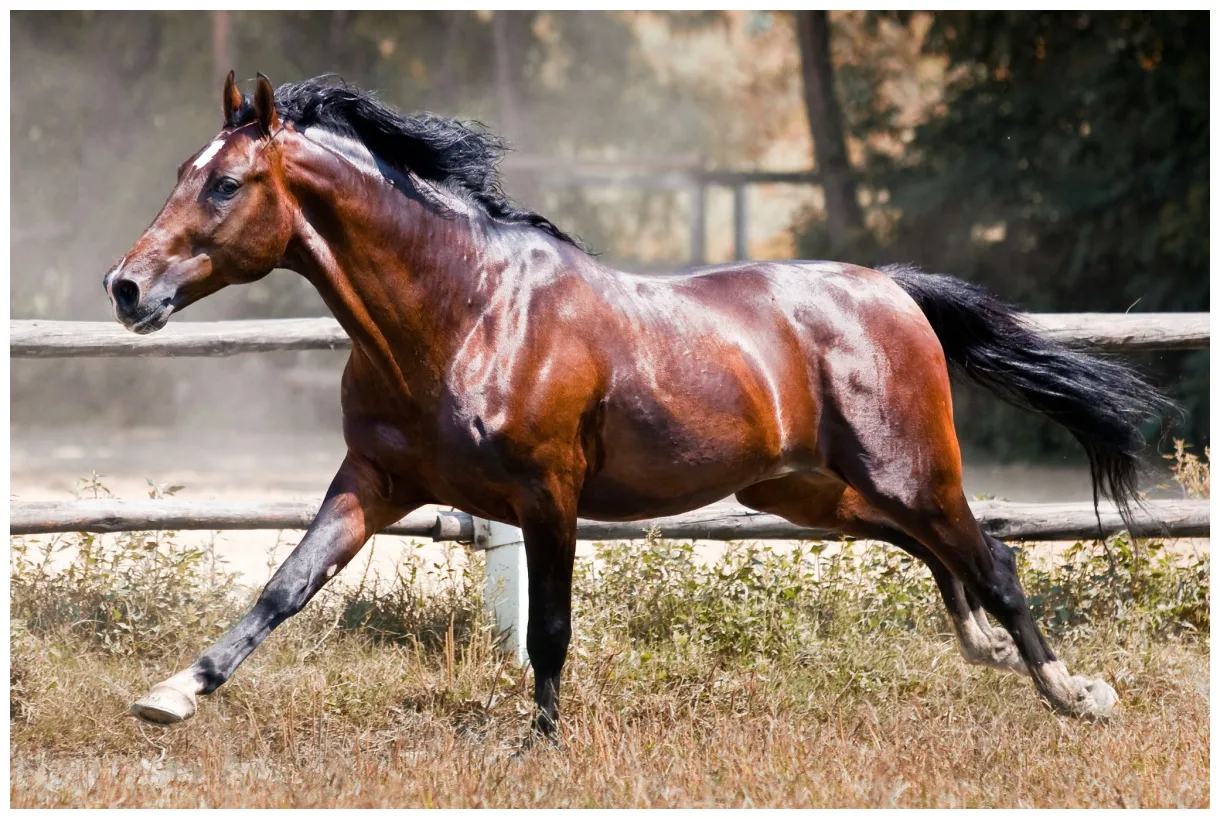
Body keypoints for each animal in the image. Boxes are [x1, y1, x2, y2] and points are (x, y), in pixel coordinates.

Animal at [106, 72, 1175, 738]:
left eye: (227, 183)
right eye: (180, 173)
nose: (126, 288)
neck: (465, 312)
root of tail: (891, 289)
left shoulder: (548, 495)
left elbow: (550, 630)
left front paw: (539, 747)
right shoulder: (375, 480)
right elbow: (285, 586)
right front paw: (170, 695)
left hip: (908, 467)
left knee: (991, 556)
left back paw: (1076, 693)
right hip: (805, 492)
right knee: (928, 549)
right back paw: (988, 651)